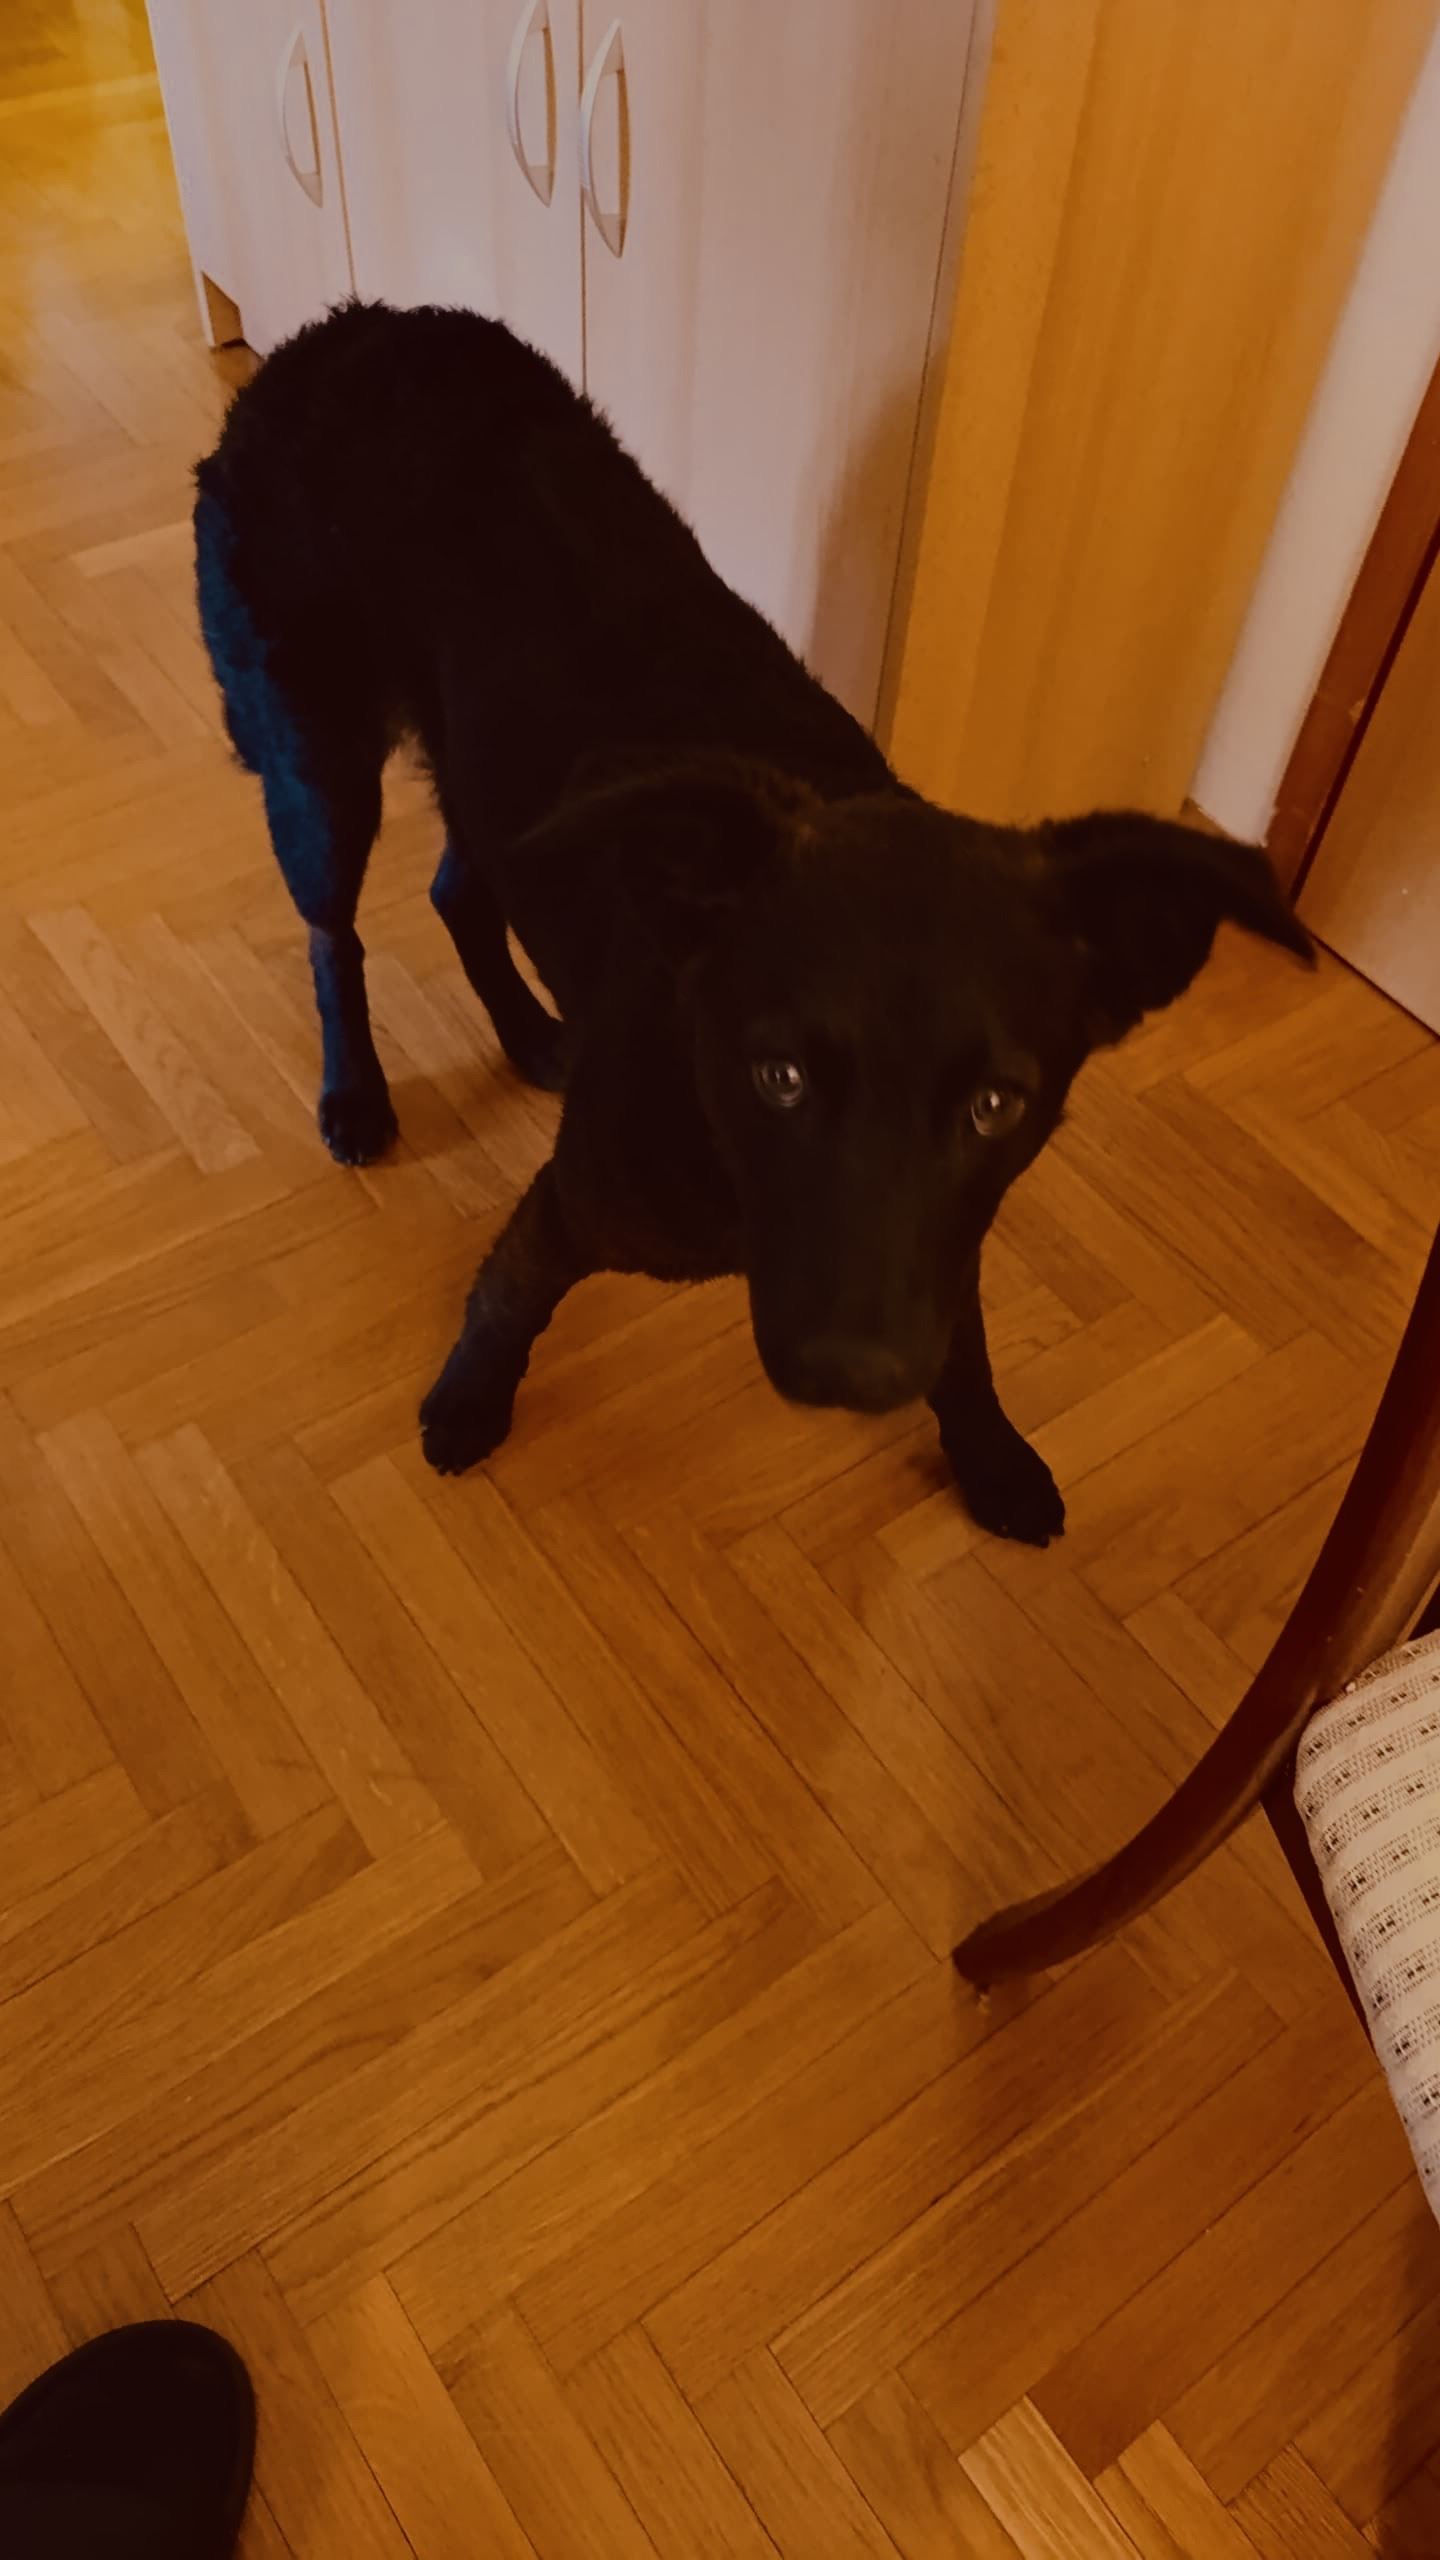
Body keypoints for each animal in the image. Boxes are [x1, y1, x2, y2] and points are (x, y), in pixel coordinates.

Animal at [194, 299, 1312, 1544]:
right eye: (777, 1075)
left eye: (995, 1104)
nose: (857, 1377)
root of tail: (336, 332)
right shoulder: (572, 1205)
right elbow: (507, 1296)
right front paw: (470, 1397)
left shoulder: (943, 1238)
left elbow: (963, 1338)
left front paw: (987, 1450)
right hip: (320, 764)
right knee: (333, 935)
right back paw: (355, 1092)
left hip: (485, 782)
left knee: (456, 891)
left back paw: (529, 1032)